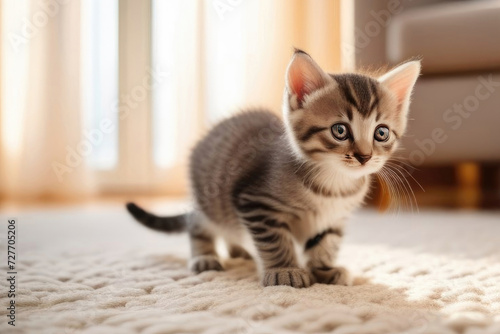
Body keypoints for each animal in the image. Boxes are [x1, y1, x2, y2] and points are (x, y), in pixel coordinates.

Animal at [127, 49, 420, 288]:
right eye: (340, 130)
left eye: (381, 133)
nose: (364, 156)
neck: (333, 185)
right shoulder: (255, 202)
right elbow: (275, 240)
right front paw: (285, 270)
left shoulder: (334, 218)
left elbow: (326, 243)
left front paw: (324, 270)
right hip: (209, 196)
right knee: (199, 223)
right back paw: (205, 256)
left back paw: (237, 250)